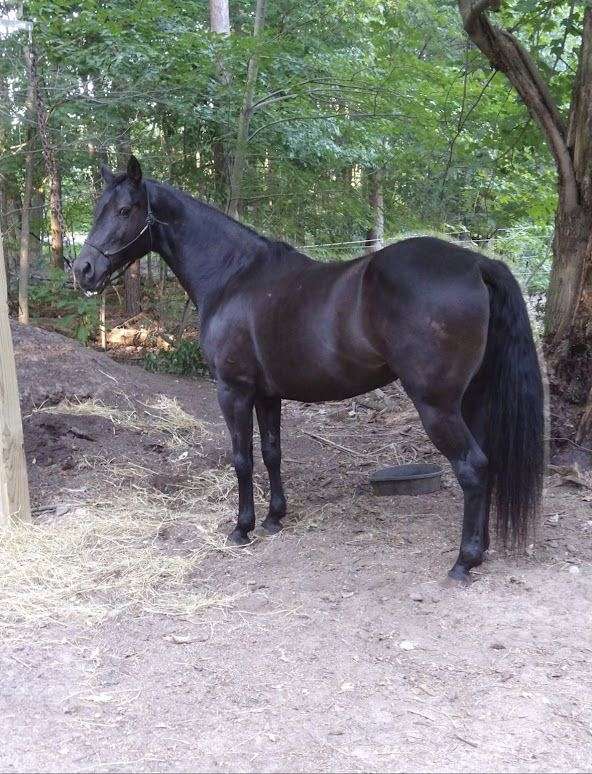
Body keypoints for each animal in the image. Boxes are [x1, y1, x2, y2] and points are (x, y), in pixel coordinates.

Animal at [73, 156, 545, 584]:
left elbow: (242, 458)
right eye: (98, 208)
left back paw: (464, 562)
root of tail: (475, 263)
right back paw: (482, 549)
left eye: (124, 211)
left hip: (437, 406)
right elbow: (272, 453)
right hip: (472, 400)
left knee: (472, 467)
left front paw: (242, 528)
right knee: (487, 463)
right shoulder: (267, 394)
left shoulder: (233, 390)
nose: (83, 270)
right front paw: (274, 519)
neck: (233, 276)